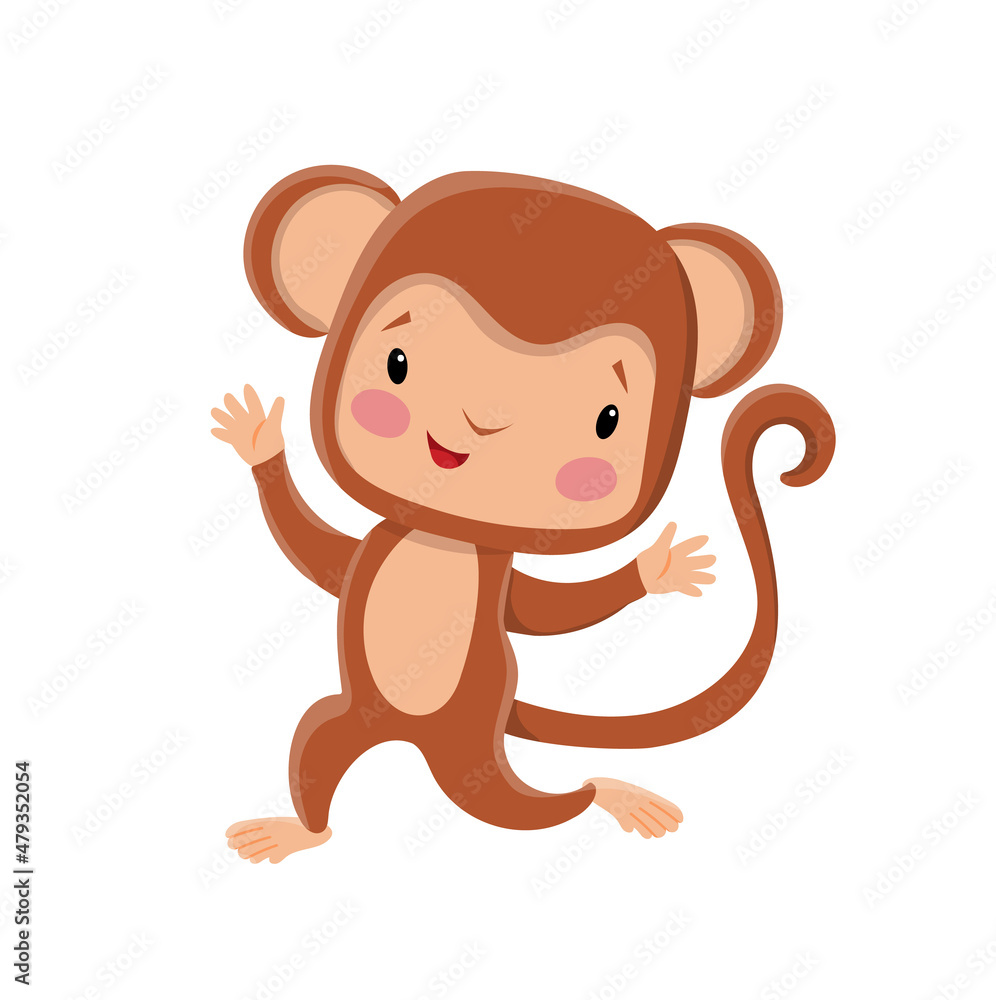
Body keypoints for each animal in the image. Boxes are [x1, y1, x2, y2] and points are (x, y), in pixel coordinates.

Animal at [211, 166, 834, 863]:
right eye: (398, 363)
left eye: (608, 420)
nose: (480, 420)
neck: (448, 540)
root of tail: (406, 735)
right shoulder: (369, 547)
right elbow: (317, 552)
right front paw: (259, 440)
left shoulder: (501, 585)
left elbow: (548, 613)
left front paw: (657, 570)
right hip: (347, 720)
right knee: (317, 754)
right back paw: (299, 830)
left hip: (473, 752)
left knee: (540, 808)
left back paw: (611, 794)